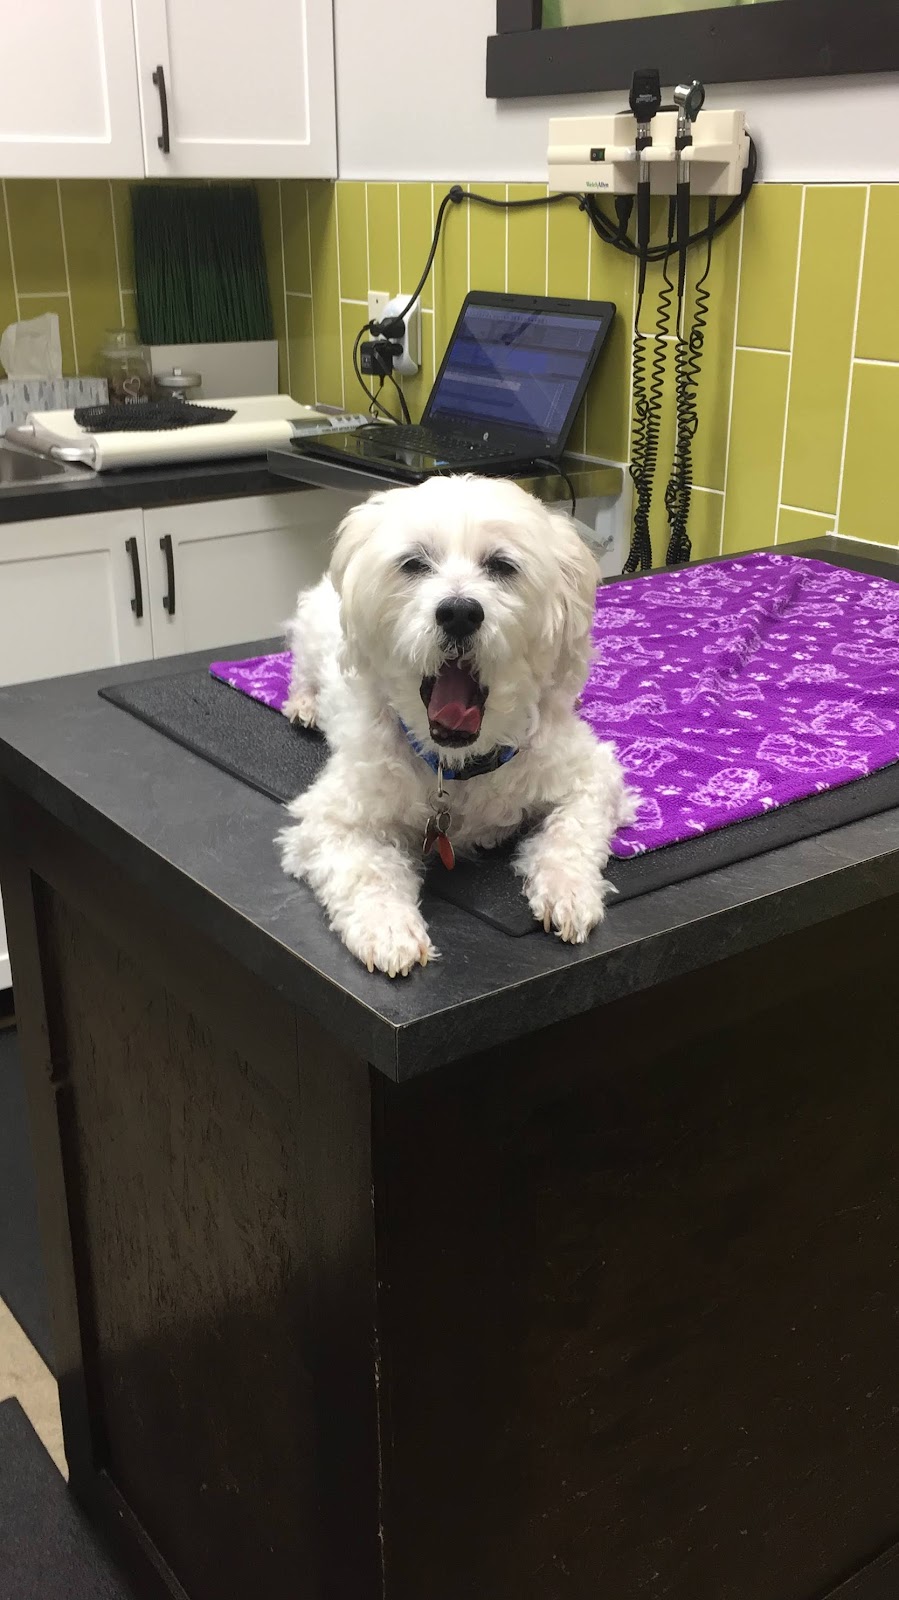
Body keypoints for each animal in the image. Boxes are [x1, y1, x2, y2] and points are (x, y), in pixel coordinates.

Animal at [277, 474, 631, 977]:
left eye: (501, 565)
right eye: (414, 563)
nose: (460, 611)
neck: (457, 765)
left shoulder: (592, 778)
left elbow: (571, 837)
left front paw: (568, 891)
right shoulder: (330, 820)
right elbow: (367, 871)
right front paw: (387, 928)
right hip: (310, 634)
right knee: (300, 673)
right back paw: (305, 705)